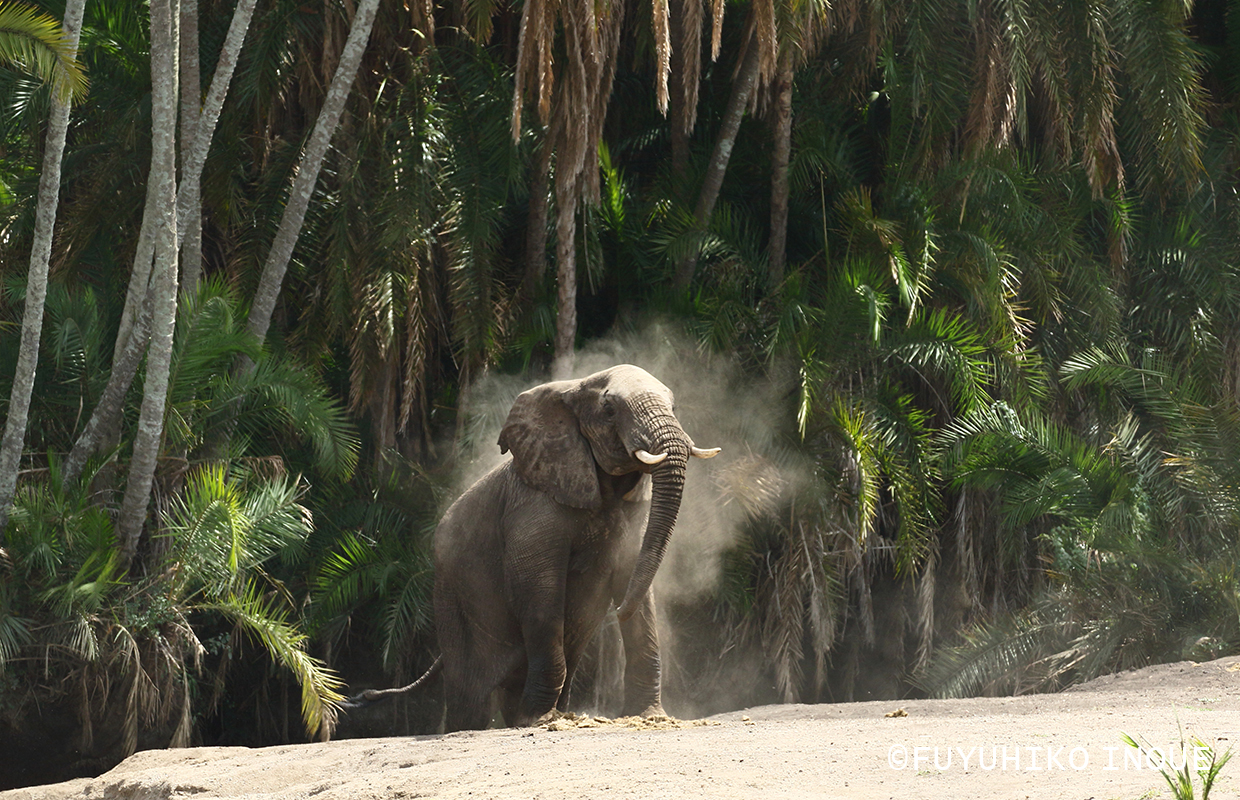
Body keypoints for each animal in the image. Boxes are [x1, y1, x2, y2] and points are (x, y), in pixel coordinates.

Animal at [348, 364, 719, 731]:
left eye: (674, 406)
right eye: (609, 409)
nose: (614, 612)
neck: (574, 388)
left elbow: (634, 579)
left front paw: (650, 717)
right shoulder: (532, 506)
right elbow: (539, 589)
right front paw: (539, 720)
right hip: (450, 595)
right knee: (470, 691)